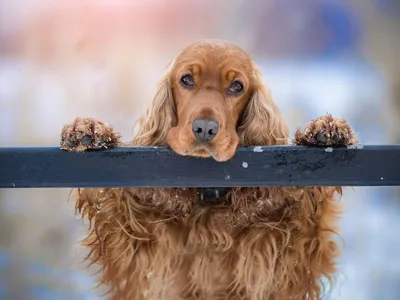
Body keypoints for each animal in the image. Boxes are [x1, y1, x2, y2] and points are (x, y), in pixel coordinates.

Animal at [61, 40, 358, 300]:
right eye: (186, 80)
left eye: (237, 86)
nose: (204, 128)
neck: (208, 197)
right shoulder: (135, 251)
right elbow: (111, 202)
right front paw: (89, 131)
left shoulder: (285, 255)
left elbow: (307, 216)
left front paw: (323, 130)